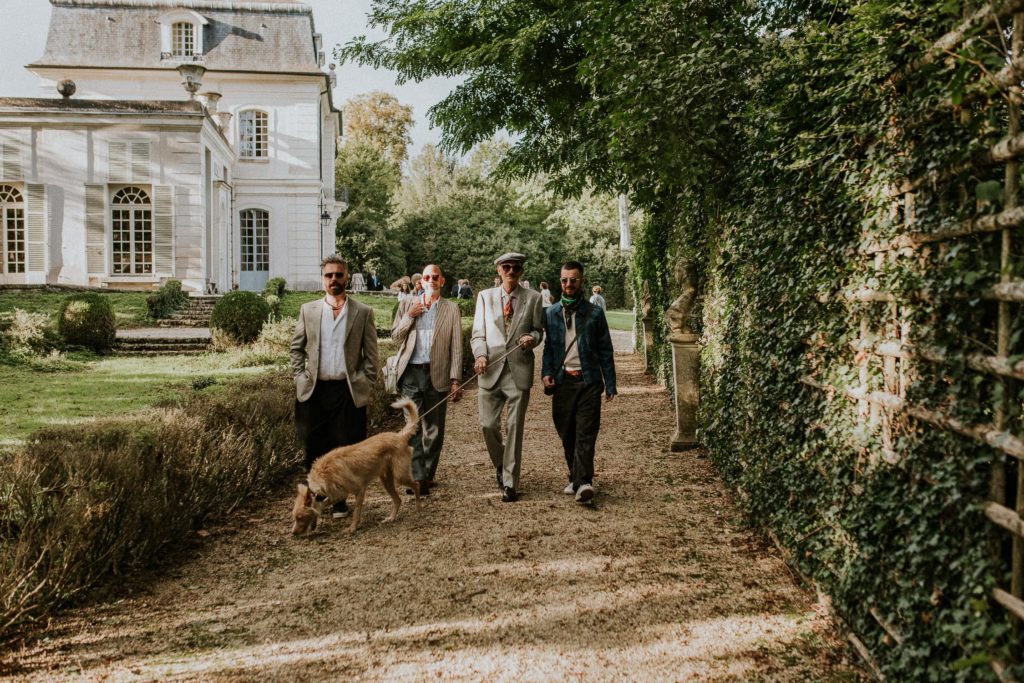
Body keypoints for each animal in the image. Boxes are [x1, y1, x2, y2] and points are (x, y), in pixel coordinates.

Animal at [292, 397, 419, 536]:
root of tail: (399, 436)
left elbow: (356, 513)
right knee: (398, 500)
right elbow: (322, 505)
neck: (324, 474)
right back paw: (392, 517)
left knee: (416, 485)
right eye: (295, 517)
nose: (293, 533)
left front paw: (352, 528)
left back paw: (419, 506)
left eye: (300, 517)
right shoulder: (336, 493)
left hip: (400, 476)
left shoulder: (359, 490)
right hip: (386, 480)